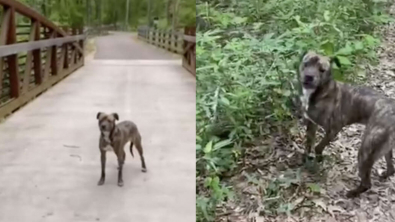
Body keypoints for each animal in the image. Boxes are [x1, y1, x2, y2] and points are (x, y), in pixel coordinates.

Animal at [300, 50, 395, 198]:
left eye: (322, 70)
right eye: (306, 64)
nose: (309, 76)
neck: (322, 91)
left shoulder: (333, 129)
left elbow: (318, 147)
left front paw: (319, 159)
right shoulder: (311, 124)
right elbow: (308, 144)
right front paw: (305, 158)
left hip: (366, 150)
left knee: (367, 183)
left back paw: (352, 193)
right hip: (384, 148)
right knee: (391, 168)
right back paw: (384, 175)